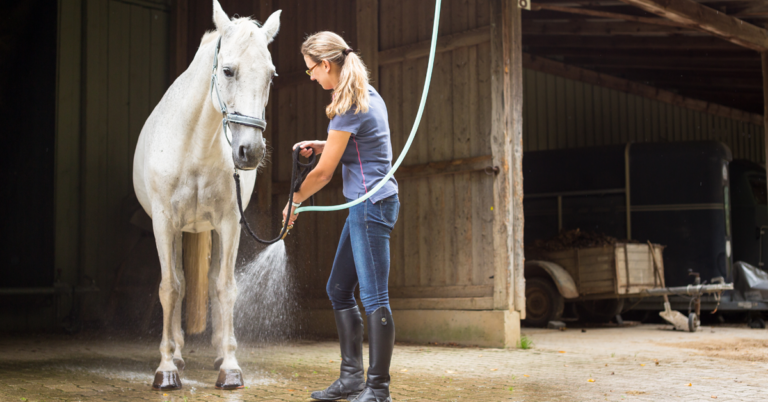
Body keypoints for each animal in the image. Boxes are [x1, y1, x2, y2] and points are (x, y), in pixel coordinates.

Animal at [132, 0, 280, 390]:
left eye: (271, 75)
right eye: (228, 71)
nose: (250, 152)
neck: (195, 146)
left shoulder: (229, 223)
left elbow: (225, 288)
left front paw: (230, 367)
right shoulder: (165, 223)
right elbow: (170, 289)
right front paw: (166, 369)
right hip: (178, 232)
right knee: (180, 284)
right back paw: (178, 354)